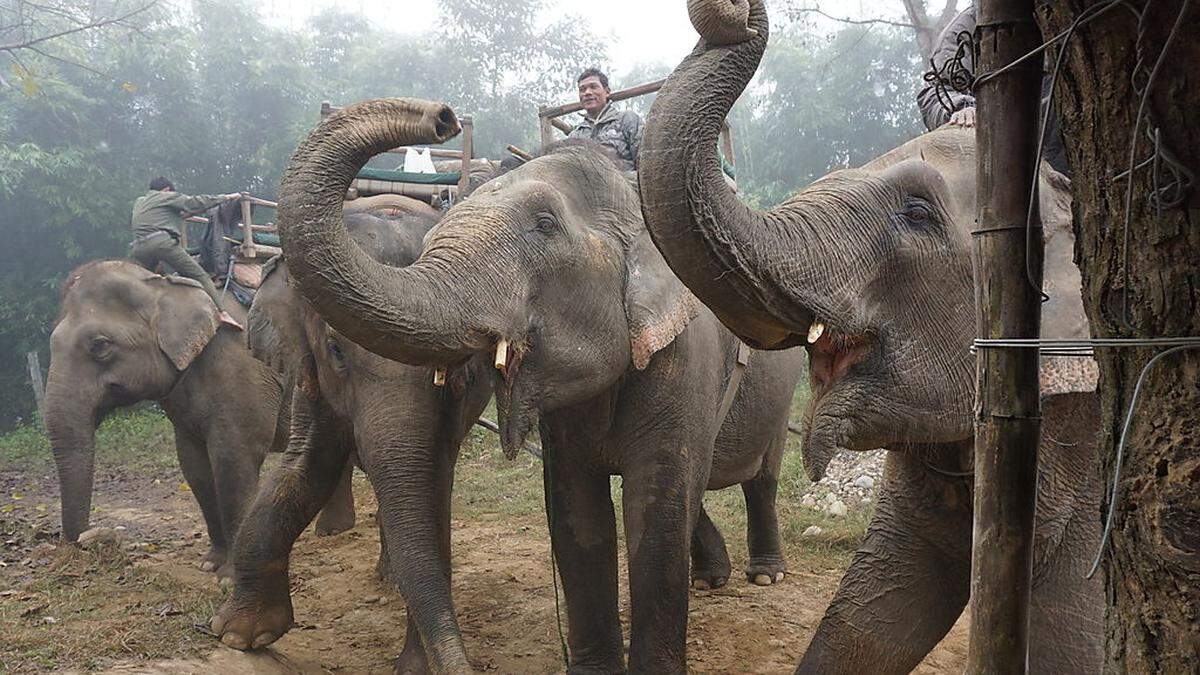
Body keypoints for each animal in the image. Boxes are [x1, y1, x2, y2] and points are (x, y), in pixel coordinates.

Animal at [46, 260, 355, 576]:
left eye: (100, 346)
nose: (94, 538)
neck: (163, 284)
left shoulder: (242, 371)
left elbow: (233, 460)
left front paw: (229, 577)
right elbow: (195, 468)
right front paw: (210, 563)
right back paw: (332, 531)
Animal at [212, 207, 496, 667]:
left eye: (454, 361)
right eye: (335, 349)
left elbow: (432, 490)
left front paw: (413, 669)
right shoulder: (309, 374)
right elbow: (308, 465)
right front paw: (239, 635)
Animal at [271, 100, 806, 672]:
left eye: (544, 225)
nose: (442, 118)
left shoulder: (686, 354)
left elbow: (655, 506)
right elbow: (577, 512)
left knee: (761, 476)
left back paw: (765, 574)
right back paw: (711, 577)